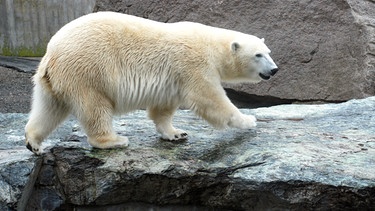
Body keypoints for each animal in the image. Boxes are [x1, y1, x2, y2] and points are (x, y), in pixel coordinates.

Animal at [25, 11, 280, 155]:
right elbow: (209, 99)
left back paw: (34, 142)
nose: (274, 69)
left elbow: (163, 108)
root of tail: (51, 53)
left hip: (55, 79)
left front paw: (176, 133)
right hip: (88, 70)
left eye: (268, 52)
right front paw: (249, 120)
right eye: (258, 55)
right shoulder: (193, 63)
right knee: (94, 107)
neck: (211, 45)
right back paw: (113, 140)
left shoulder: (173, 78)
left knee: (49, 108)